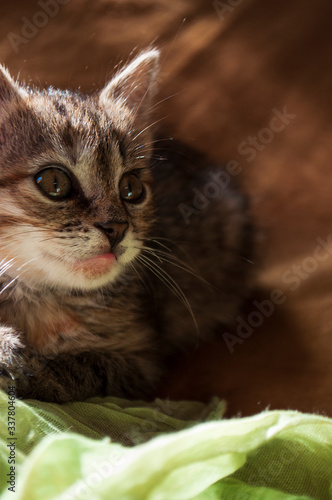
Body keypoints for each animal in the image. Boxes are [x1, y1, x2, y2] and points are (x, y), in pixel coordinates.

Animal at [0, 49, 252, 402]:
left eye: (131, 188)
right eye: (54, 182)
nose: (116, 228)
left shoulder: (143, 362)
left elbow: (91, 368)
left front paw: (34, 371)